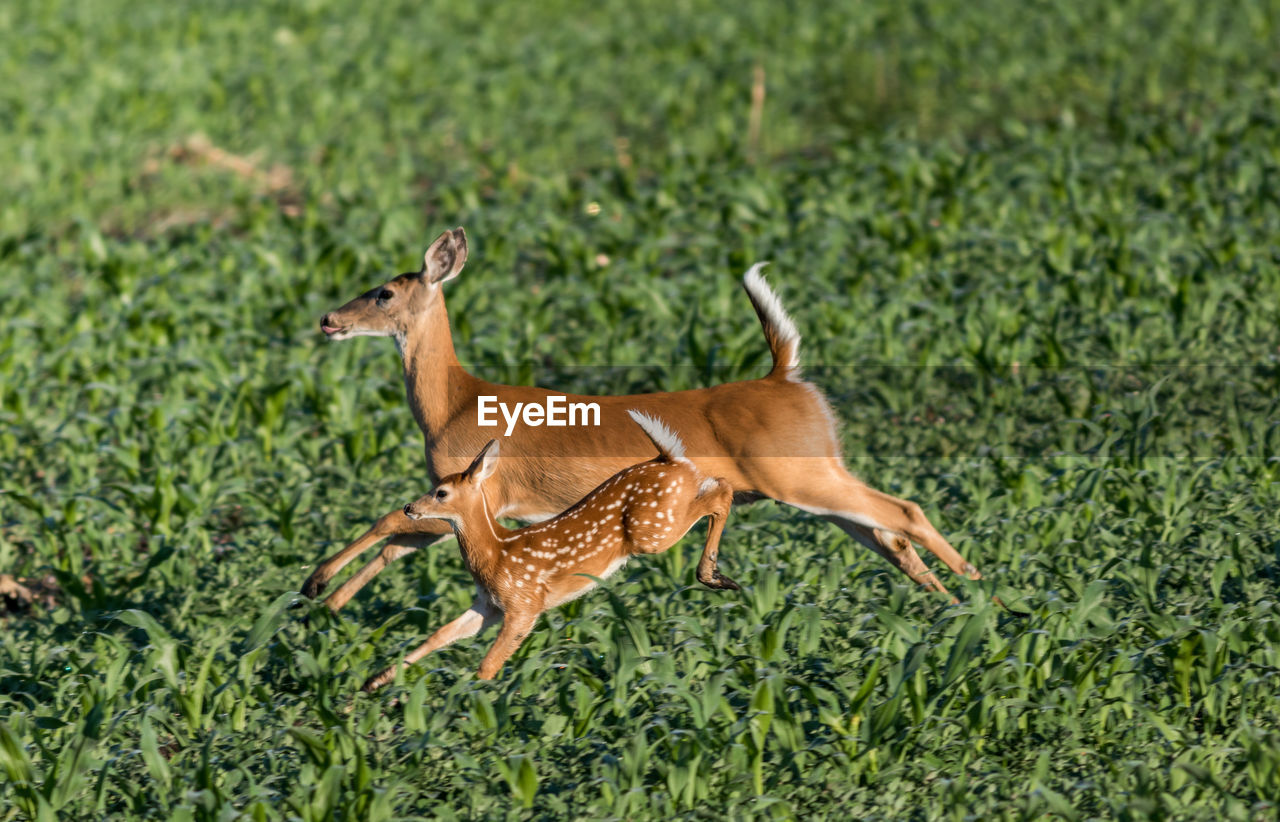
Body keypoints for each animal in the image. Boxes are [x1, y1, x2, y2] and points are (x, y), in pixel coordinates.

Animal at [299, 224, 977, 609]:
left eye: (384, 292)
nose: (328, 319)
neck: (454, 402)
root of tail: (785, 375)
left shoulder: (479, 491)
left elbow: (392, 522)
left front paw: (315, 587)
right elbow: (398, 541)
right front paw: (328, 600)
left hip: (798, 475)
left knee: (904, 512)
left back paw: (973, 585)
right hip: (813, 480)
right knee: (887, 533)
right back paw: (948, 603)